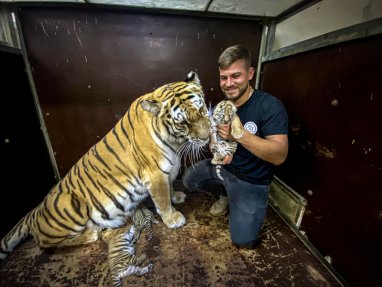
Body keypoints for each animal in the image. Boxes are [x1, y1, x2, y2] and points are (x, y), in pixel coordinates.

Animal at [0, 72, 210, 260]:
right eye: (183, 122)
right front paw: (173, 218)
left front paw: (176, 197)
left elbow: (169, 187)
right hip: (70, 205)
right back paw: (91, 233)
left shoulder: (167, 170)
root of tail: (35, 211)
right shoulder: (155, 173)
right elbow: (162, 199)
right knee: (45, 243)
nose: (207, 137)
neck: (175, 142)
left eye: (201, 111)